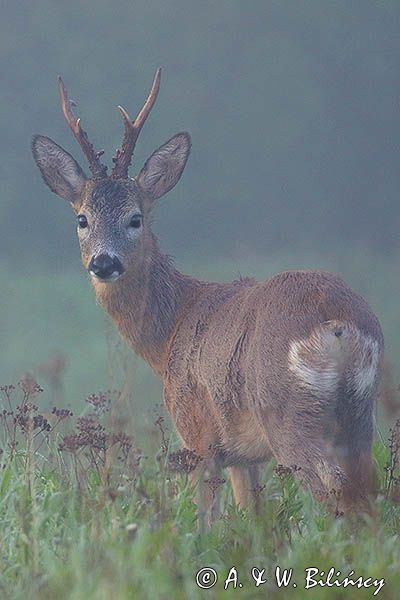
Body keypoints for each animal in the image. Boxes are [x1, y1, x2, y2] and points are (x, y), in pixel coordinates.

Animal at [32, 69, 382, 520]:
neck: (169, 334)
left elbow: (207, 518)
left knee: (335, 491)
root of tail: (338, 324)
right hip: (359, 415)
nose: (103, 263)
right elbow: (254, 516)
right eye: (82, 218)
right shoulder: (243, 456)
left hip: (289, 415)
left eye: (135, 218)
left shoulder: (198, 437)